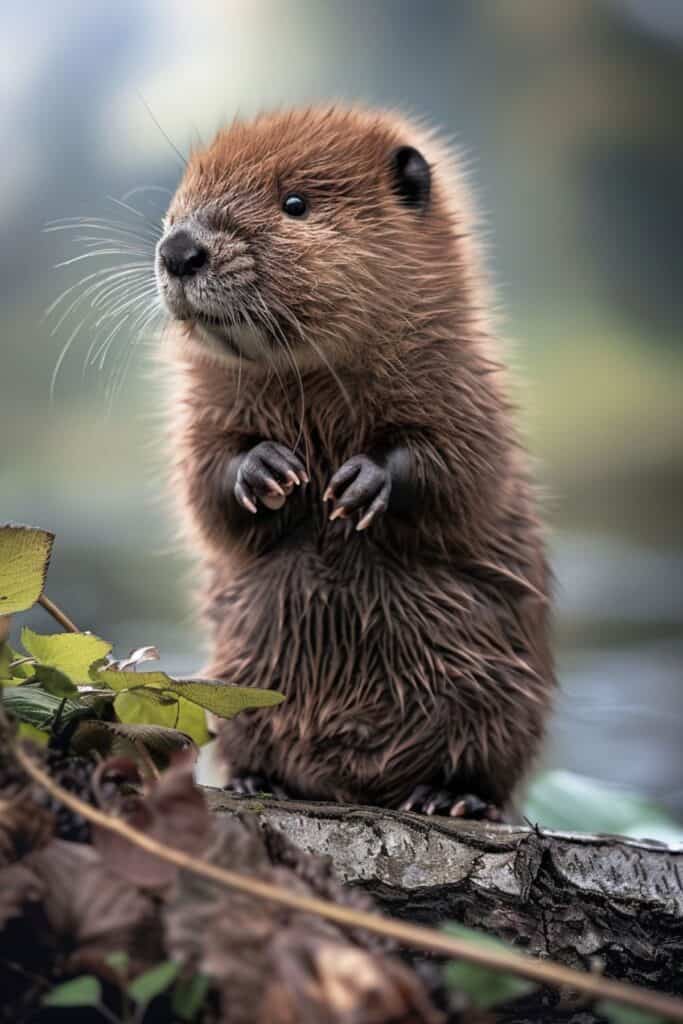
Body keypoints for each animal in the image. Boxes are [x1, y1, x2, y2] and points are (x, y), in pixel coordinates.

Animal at [156, 108, 557, 819]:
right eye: (181, 196)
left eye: (294, 202)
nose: (178, 251)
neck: (314, 384)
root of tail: (354, 785)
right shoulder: (203, 406)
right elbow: (205, 485)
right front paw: (269, 470)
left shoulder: (463, 381)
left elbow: (463, 469)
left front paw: (360, 483)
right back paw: (259, 780)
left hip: (502, 694)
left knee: (489, 767)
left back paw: (447, 797)